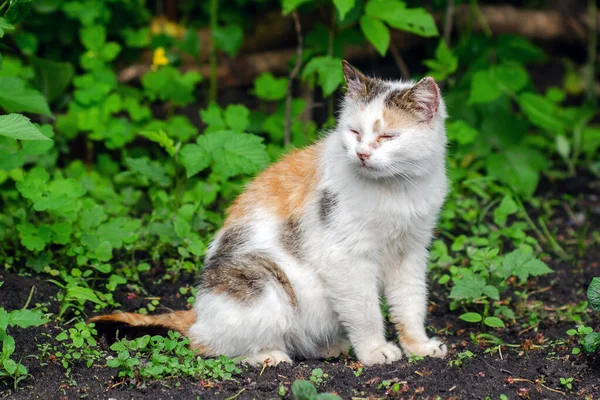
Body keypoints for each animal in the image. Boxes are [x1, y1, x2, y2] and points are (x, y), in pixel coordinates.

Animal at [91, 60, 448, 366]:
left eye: (387, 137)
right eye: (354, 132)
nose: (361, 154)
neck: (395, 190)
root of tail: (197, 311)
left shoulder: (411, 251)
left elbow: (411, 303)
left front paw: (419, 346)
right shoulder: (345, 257)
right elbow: (365, 310)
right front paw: (375, 350)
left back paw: (329, 346)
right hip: (263, 280)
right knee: (207, 344)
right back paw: (269, 355)